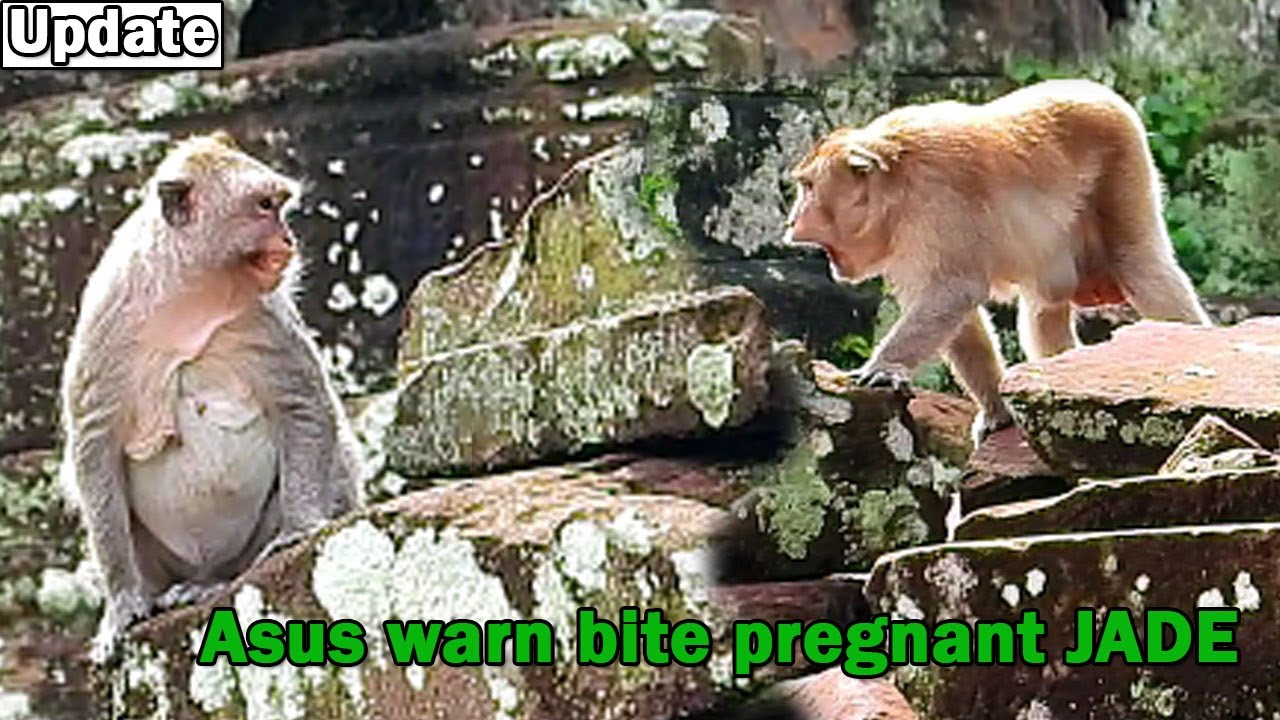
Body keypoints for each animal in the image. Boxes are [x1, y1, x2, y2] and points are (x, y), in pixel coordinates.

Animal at [58, 132, 363, 659]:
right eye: (264, 206)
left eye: (279, 204)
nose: (288, 239)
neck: (189, 299)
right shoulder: (106, 322)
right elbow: (93, 449)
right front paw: (122, 603)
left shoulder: (265, 315)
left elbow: (303, 404)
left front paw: (300, 528)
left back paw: (212, 583)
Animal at [783, 79, 1210, 439]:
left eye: (808, 187)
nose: (791, 220)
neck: (895, 184)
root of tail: (1099, 90)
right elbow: (959, 317)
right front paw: (997, 411)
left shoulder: (937, 198)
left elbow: (954, 291)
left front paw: (882, 369)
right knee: (1044, 310)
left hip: (1121, 164)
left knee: (1141, 266)